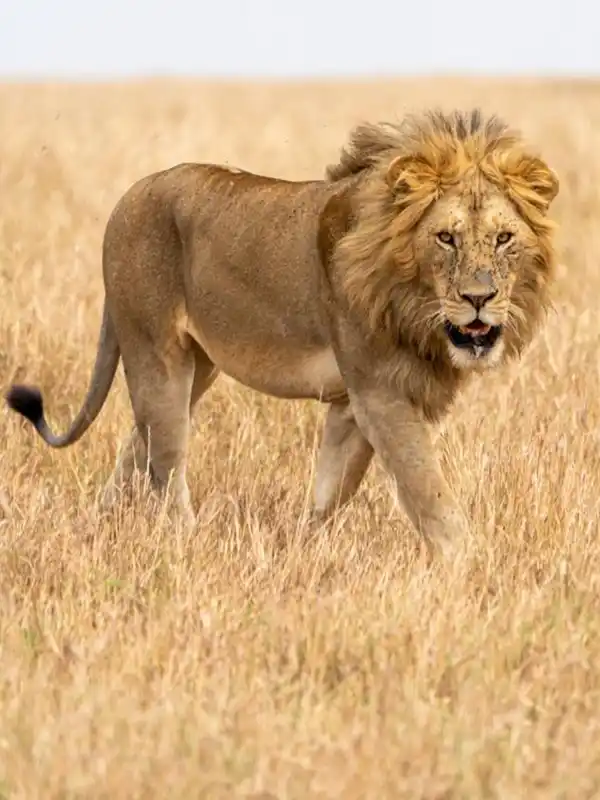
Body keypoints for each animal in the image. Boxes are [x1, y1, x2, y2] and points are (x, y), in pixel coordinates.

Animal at [5, 108, 559, 558]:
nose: (479, 298)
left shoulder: (351, 403)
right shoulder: (379, 392)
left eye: (504, 238)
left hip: (197, 366)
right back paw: (184, 544)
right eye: (446, 237)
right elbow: (427, 486)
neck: (410, 304)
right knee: (166, 465)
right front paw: (470, 565)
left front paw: (301, 548)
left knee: (135, 446)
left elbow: (332, 489)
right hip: (156, 353)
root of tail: (127, 198)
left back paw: (95, 530)